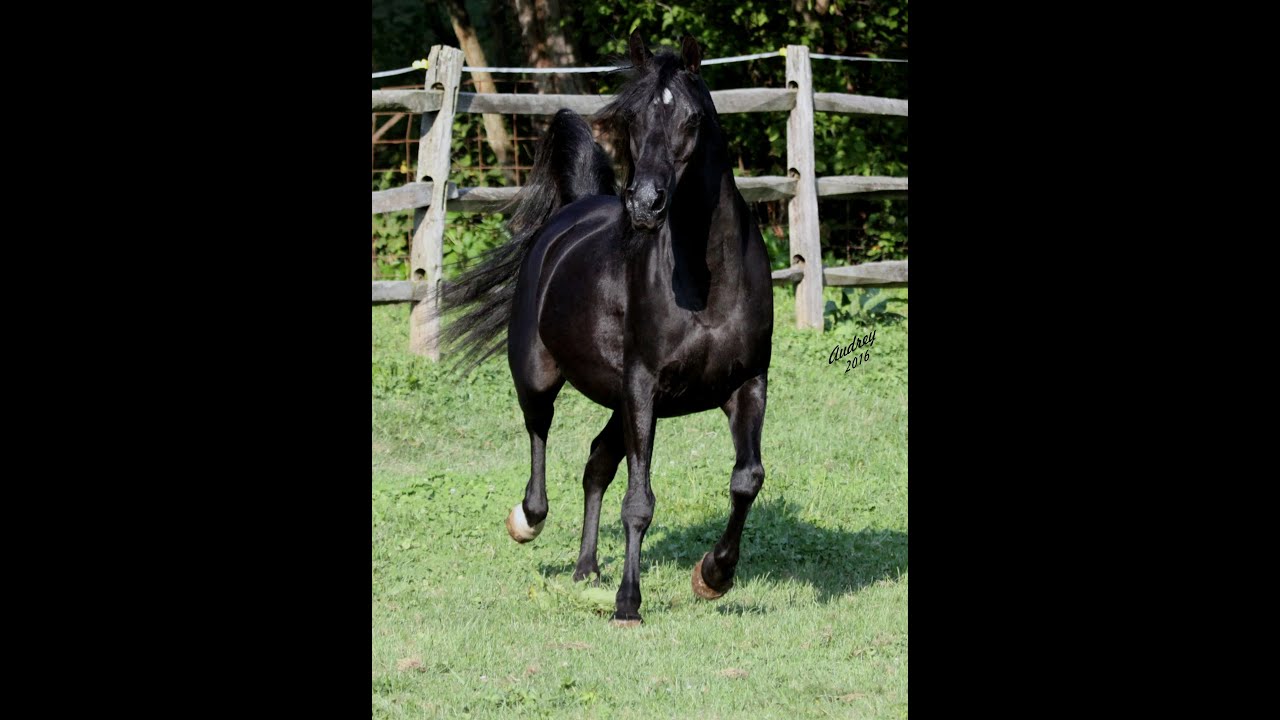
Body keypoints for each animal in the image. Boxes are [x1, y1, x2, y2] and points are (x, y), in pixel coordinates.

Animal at [440, 31, 773, 625]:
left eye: (691, 118)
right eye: (631, 118)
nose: (644, 204)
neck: (707, 285)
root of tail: (567, 216)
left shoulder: (748, 383)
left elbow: (746, 479)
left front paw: (713, 575)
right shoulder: (643, 386)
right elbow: (639, 502)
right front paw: (628, 603)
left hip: (620, 403)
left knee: (596, 463)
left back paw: (586, 569)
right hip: (540, 378)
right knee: (540, 437)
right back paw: (527, 521)